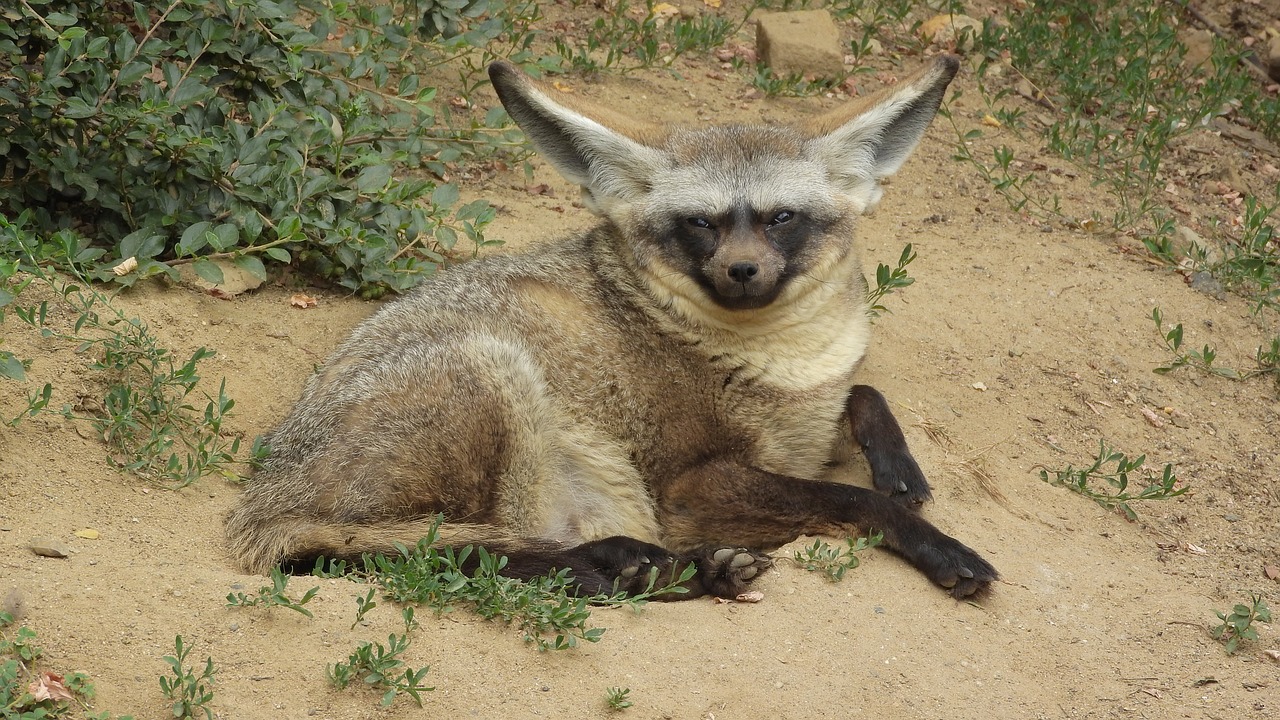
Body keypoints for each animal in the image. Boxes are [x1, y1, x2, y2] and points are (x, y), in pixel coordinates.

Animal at [225, 55, 998, 600]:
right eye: (701, 224)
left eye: (780, 218)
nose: (742, 271)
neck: (788, 365)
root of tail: (260, 503)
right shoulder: (690, 488)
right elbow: (849, 498)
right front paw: (937, 543)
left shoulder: (810, 419)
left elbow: (865, 395)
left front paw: (899, 466)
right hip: (493, 374)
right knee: (439, 556)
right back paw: (632, 567)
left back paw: (675, 573)